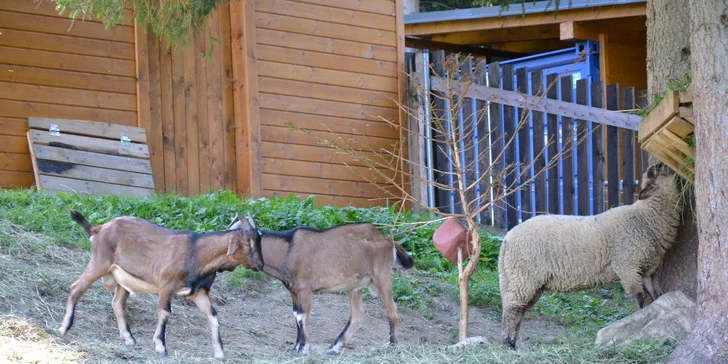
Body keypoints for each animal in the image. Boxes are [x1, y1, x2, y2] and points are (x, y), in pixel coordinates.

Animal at [500, 164, 684, 348]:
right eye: (656, 171)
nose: (665, 165)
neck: (645, 217)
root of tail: (507, 239)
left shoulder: (645, 270)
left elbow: (655, 295)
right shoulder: (627, 267)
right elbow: (638, 298)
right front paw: (637, 319)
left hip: (524, 279)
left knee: (518, 309)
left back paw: (512, 341)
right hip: (524, 275)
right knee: (512, 308)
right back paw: (509, 342)